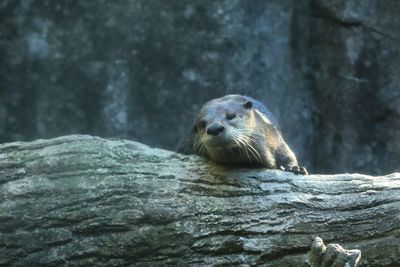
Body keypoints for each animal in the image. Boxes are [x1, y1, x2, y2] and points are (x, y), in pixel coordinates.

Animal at [177, 94, 308, 176]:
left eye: (231, 116)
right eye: (202, 124)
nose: (214, 128)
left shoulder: (274, 137)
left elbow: (288, 153)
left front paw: (295, 169)